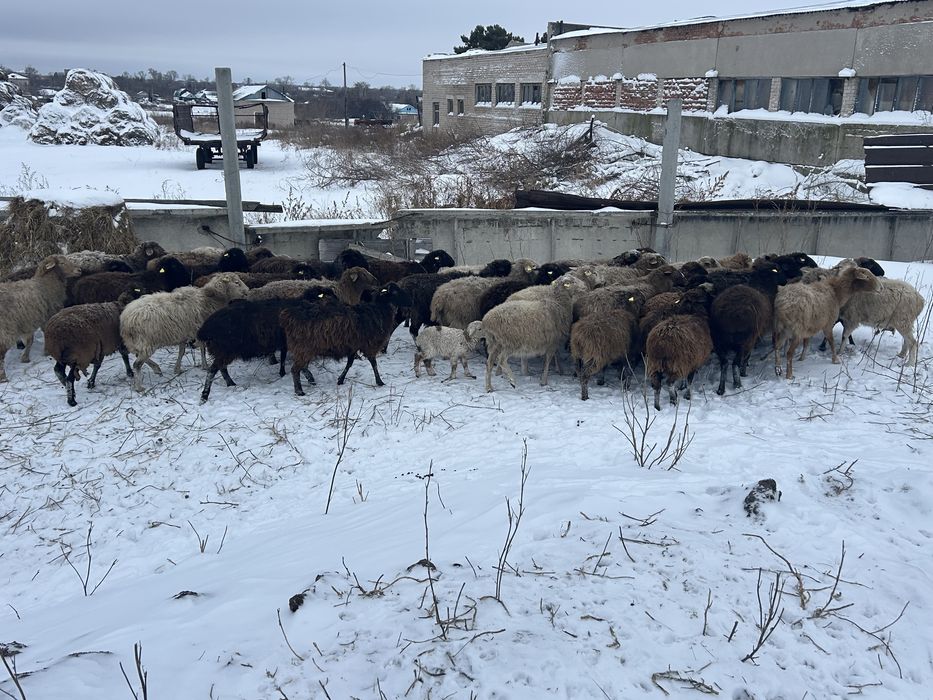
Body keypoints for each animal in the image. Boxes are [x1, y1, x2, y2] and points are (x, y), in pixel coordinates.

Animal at [120, 272, 250, 390]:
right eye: (236, 282)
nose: (248, 291)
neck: (210, 299)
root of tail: (125, 319)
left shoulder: (182, 333)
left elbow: (181, 351)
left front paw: (177, 369)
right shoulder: (200, 330)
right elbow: (202, 349)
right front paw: (205, 366)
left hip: (138, 342)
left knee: (138, 356)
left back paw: (156, 369)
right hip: (146, 342)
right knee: (137, 364)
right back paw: (139, 387)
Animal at [197, 286, 339, 402]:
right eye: (328, 297)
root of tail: (205, 328)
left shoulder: (285, 343)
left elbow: (285, 359)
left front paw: (286, 373)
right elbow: (290, 361)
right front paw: (298, 376)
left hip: (223, 351)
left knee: (221, 368)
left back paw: (230, 383)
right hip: (225, 350)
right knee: (212, 371)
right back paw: (205, 395)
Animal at [279, 283, 413, 395]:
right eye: (395, 291)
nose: (410, 301)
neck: (378, 311)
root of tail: (288, 315)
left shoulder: (353, 345)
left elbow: (349, 363)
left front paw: (340, 379)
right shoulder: (368, 344)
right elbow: (373, 363)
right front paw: (379, 381)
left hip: (306, 348)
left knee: (303, 367)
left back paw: (310, 379)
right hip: (303, 348)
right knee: (295, 369)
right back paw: (299, 391)